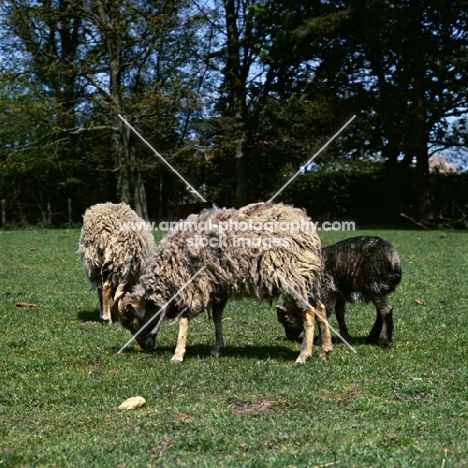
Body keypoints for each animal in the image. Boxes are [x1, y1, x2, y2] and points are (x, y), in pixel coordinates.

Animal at [115, 203, 330, 364]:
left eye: (132, 321)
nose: (144, 347)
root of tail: (307, 227)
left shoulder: (193, 286)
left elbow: (184, 320)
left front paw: (177, 354)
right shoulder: (217, 288)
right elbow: (217, 318)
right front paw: (217, 349)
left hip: (292, 276)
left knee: (309, 313)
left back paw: (303, 355)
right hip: (305, 276)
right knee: (320, 307)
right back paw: (325, 349)